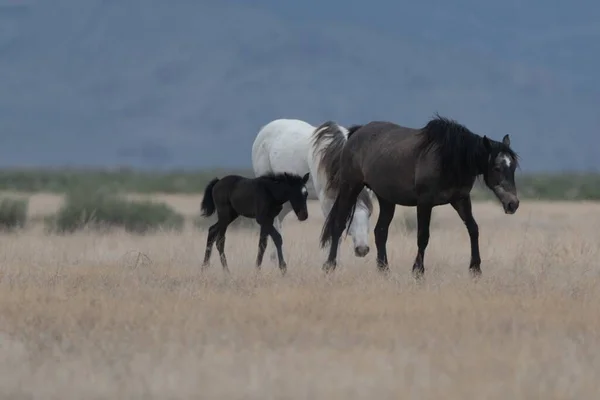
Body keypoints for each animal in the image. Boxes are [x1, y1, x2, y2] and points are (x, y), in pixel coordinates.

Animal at [318, 114, 520, 280]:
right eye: (497, 168)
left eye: (513, 167)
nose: (513, 204)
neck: (448, 159)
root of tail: (356, 133)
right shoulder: (425, 202)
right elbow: (423, 236)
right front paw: (418, 271)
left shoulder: (460, 199)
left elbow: (473, 229)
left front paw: (476, 269)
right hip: (350, 187)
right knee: (339, 225)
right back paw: (329, 266)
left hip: (386, 198)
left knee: (380, 231)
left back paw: (384, 270)